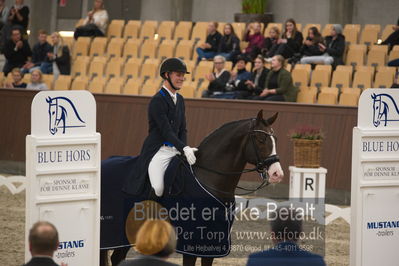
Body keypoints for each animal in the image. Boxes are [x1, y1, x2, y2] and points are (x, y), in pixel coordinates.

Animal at [101, 110, 286, 266]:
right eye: (260, 139)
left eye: (276, 140)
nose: (277, 173)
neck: (209, 178)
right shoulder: (192, 243)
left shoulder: (213, 241)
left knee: (117, 257)